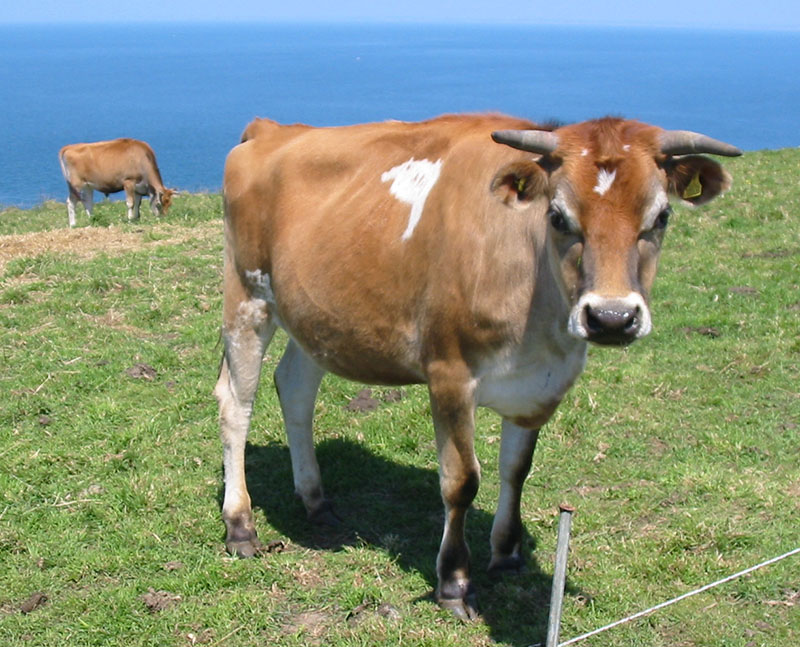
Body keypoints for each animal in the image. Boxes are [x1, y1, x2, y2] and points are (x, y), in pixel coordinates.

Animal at [212, 114, 736, 620]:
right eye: (557, 216)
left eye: (662, 215)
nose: (611, 318)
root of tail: (271, 129)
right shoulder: (449, 374)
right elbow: (462, 481)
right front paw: (453, 583)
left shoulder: (540, 385)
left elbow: (516, 469)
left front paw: (506, 553)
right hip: (247, 296)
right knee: (236, 404)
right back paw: (240, 526)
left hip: (315, 316)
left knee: (296, 389)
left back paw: (316, 500)